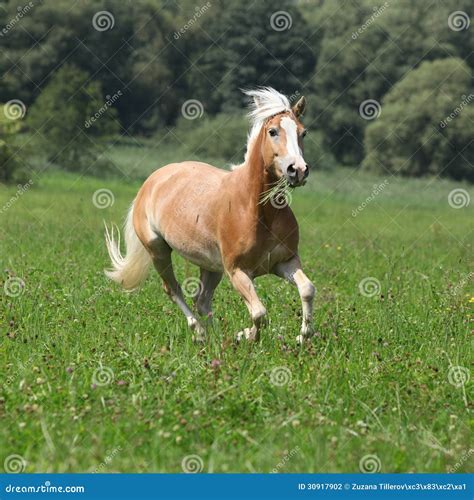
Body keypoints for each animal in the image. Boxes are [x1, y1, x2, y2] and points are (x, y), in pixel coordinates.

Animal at [105, 87, 316, 344]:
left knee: (202, 300)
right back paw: (200, 332)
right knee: (173, 289)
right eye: (273, 131)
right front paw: (247, 335)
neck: (259, 211)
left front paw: (303, 336)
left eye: (303, 132)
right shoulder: (237, 271)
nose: (298, 170)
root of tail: (152, 181)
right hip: (158, 250)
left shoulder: (285, 262)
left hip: (211, 266)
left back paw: (217, 337)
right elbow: (259, 312)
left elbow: (307, 290)